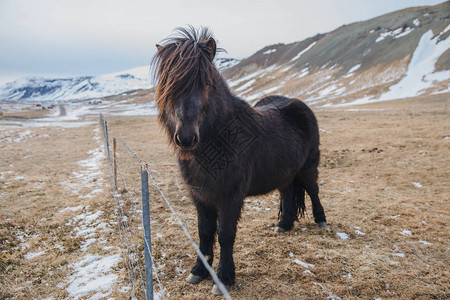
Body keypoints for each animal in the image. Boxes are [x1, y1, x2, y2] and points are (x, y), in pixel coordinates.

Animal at [152, 26, 326, 296]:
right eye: (169, 85)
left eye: (207, 83)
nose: (187, 138)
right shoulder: (200, 197)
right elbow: (204, 233)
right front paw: (198, 271)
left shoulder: (230, 196)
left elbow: (225, 234)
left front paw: (223, 278)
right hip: (285, 173)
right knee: (288, 193)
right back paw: (283, 225)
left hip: (308, 167)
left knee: (313, 190)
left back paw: (321, 221)